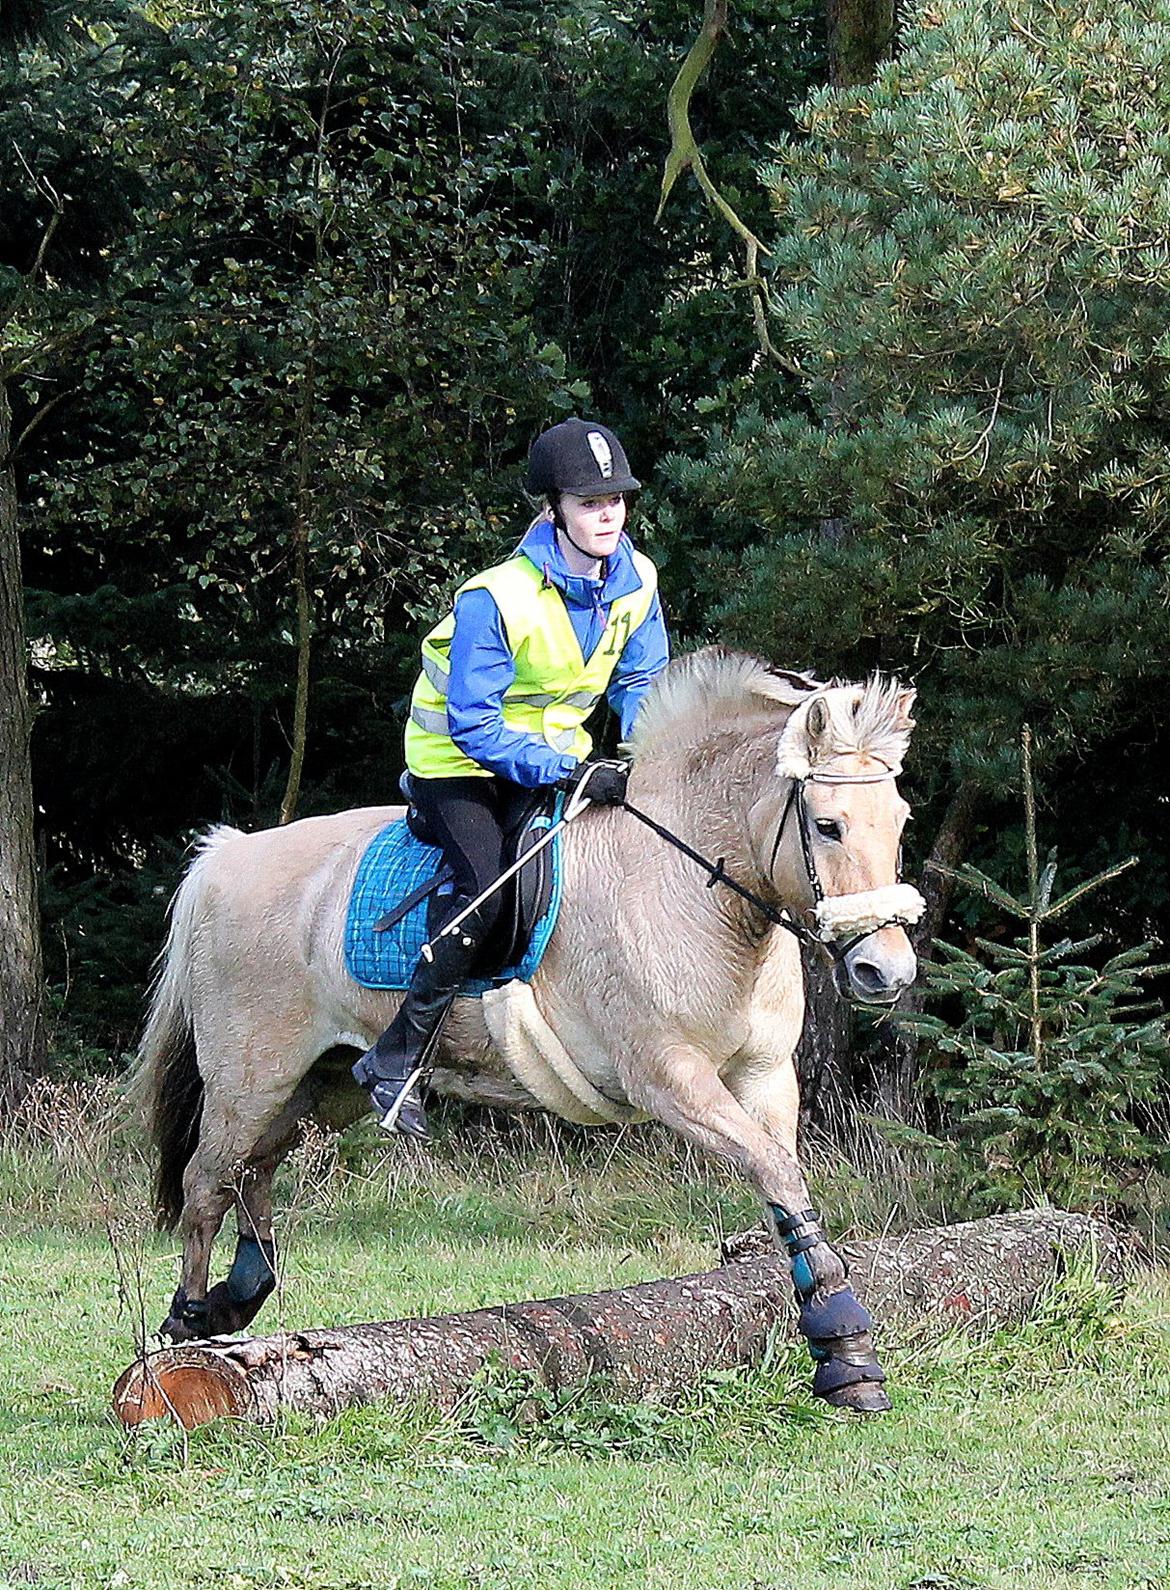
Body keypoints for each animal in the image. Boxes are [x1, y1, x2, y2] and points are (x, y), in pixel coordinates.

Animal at [136, 642, 922, 1405]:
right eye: (827, 825)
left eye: (901, 822)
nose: (886, 972)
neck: (689, 889)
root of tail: (226, 855)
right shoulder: (670, 1077)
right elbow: (773, 1169)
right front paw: (844, 1340)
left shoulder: (763, 1076)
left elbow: (785, 1182)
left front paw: (841, 1347)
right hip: (251, 1076)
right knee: (208, 1180)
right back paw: (187, 1322)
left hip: (321, 1086)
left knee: (255, 1168)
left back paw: (237, 1296)